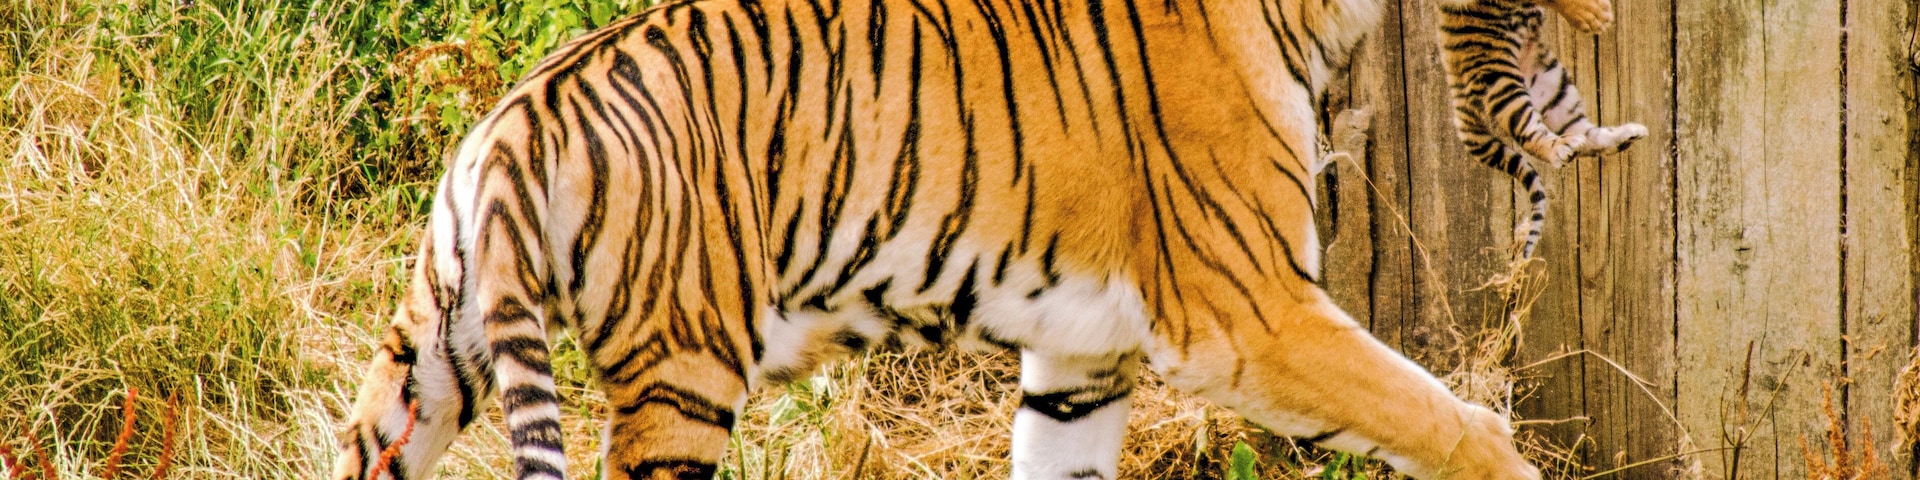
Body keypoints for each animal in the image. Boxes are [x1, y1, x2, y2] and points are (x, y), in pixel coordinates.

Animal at [328, 0, 1618, 478]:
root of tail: (512, 120)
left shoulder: (1079, 357)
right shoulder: (1252, 311)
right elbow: (1449, 419)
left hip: (432, 360)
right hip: (679, 377)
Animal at [1439, 0, 1648, 258]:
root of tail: (1457, 101)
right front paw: (1591, 14)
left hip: (1550, 84)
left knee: (1584, 135)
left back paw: (1625, 136)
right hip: (1500, 82)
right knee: (1531, 135)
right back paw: (1560, 149)